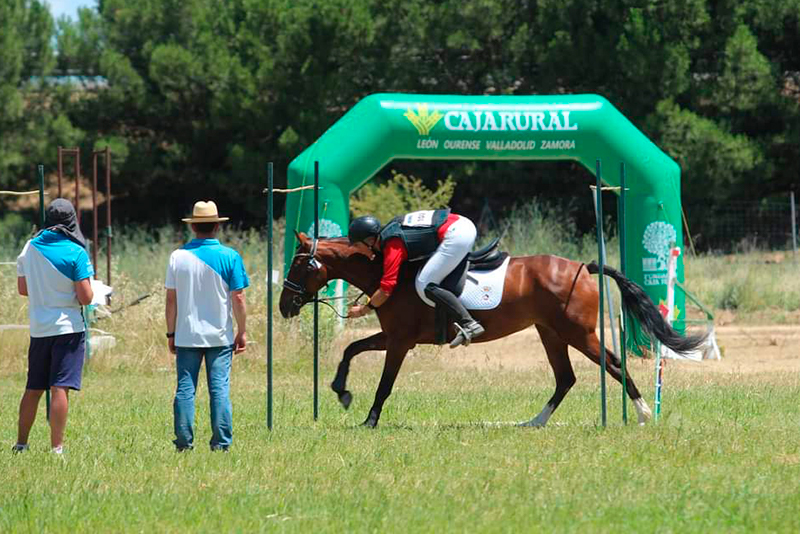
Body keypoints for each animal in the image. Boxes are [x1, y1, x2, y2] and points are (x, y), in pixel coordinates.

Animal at [282, 234, 708, 432]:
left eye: (299, 263)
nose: (285, 306)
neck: (389, 270)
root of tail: (582, 268)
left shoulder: (400, 342)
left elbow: (384, 384)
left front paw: (369, 421)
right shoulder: (393, 337)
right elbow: (351, 349)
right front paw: (341, 391)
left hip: (578, 333)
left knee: (614, 365)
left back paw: (643, 414)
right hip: (551, 332)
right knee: (565, 378)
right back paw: (534, 422)